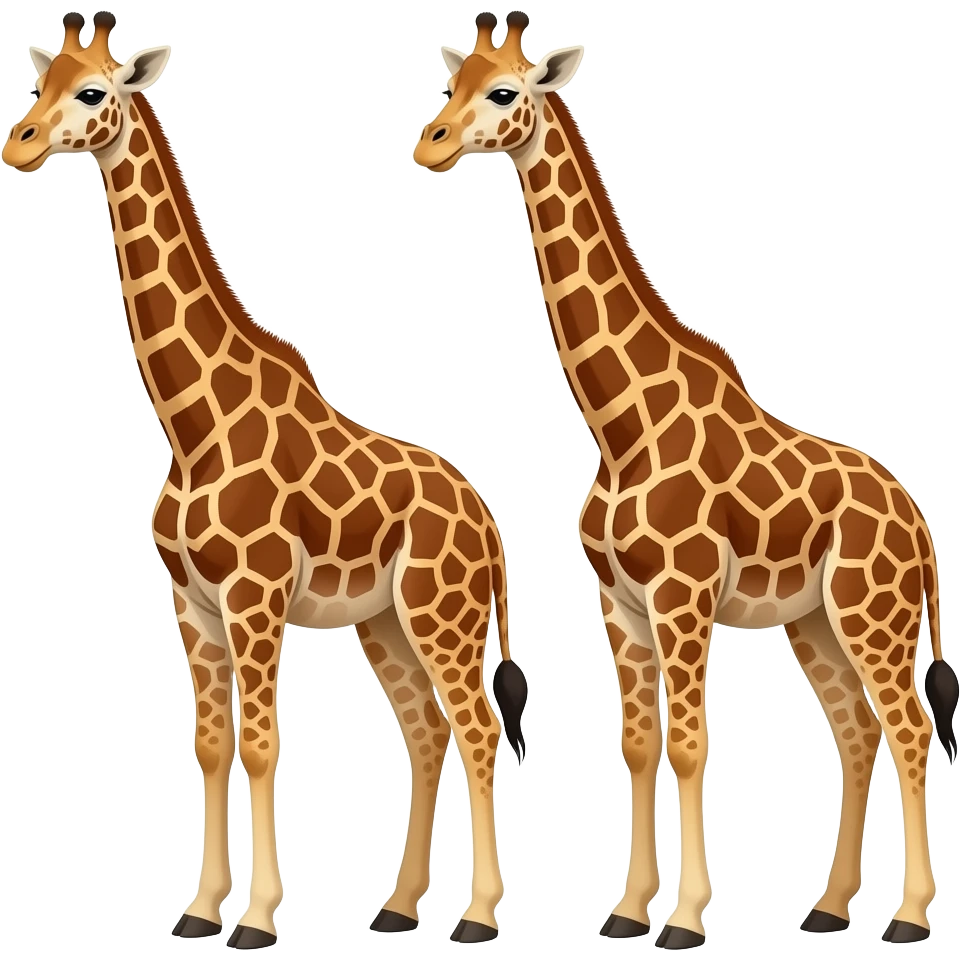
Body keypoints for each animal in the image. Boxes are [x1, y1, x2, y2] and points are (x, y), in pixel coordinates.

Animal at [2, 11, 529, 948]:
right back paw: (398, 907)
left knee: (475, 728)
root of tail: (486, 521)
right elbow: (212, 745)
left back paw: (476, 916)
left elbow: (260, 742)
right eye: (40, 82)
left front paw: (255, 917)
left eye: (93, 90)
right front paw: (198, 908)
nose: (16, 143)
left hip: (444, 615)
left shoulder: (255, 595)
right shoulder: (191, 601)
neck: (190, 426)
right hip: (384, 621)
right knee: (427, 732)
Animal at [412, 11, 958, 948]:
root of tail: (919, 526)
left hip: (871, 613)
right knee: (857, 733)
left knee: (910, 729)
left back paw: (911, 916)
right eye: (453, 83)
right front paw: (629, 910)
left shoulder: (683, 595)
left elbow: (692, 744)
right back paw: (829, 906)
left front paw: (687, 918)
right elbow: (640, 744)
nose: (431, 144)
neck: (618, 426)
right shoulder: (620, 602)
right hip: (814, 621)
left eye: (506, 90)